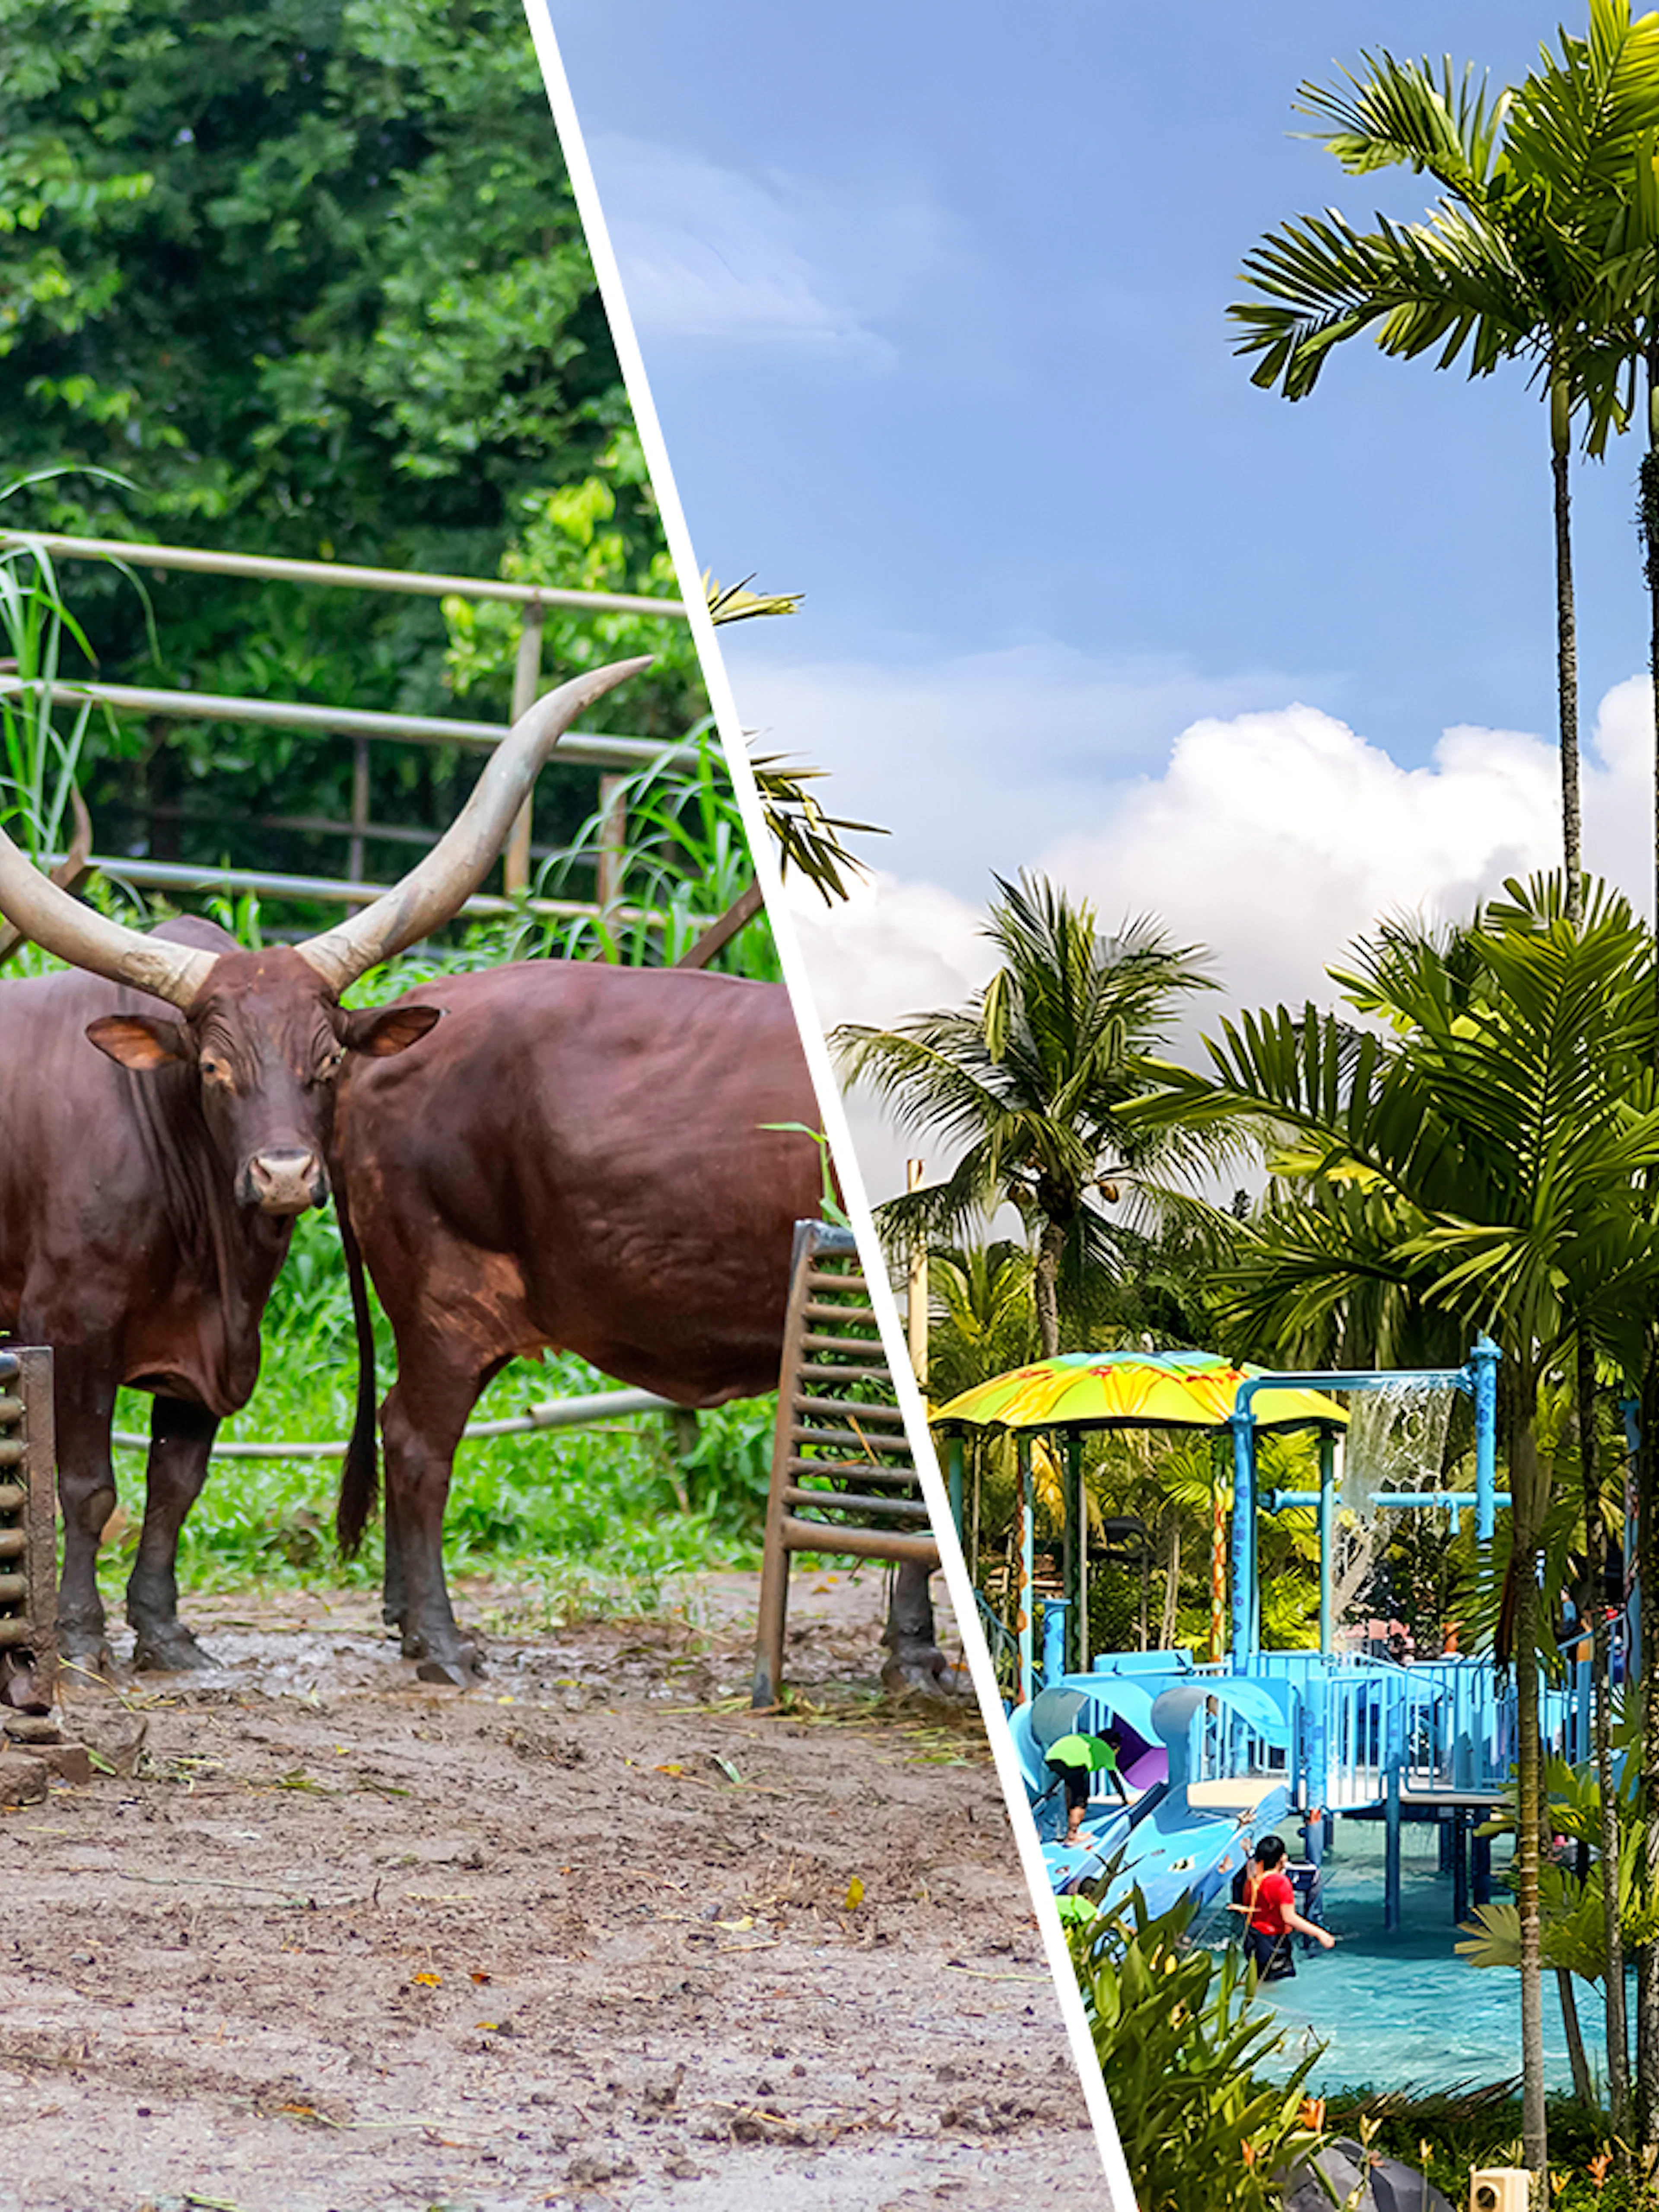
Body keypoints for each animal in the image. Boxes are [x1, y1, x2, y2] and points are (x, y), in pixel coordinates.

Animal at [0, 657, 647, 1670]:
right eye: (214, 1067)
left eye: (331, 1061)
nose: (284, 1176)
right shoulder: (68, 1326)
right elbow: (85, 1485)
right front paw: (78, 1636)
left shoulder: (215, 1349)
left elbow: (176, 1485)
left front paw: (167, 1633)